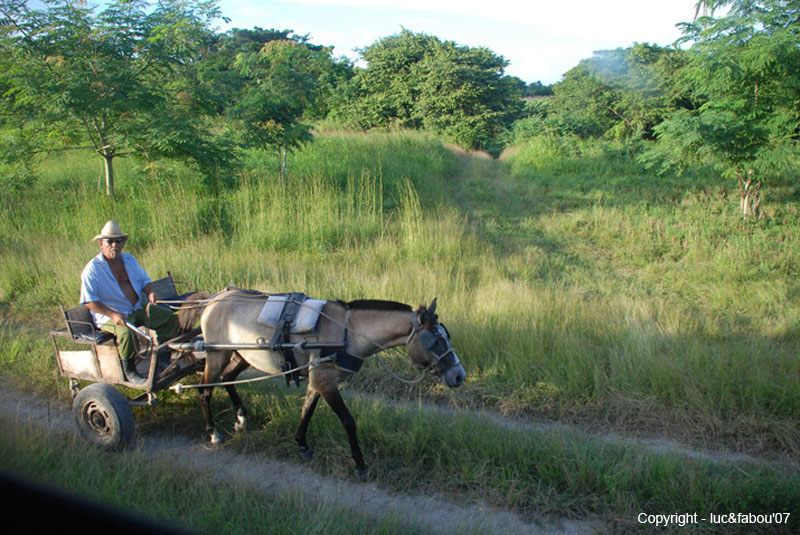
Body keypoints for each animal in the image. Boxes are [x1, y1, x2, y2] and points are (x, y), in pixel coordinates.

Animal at [175, 288, 462, 478]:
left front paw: (302, 445)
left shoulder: (317, 380)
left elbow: (307, 411)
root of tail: (213, 299)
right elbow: (348, 421)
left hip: (241, 355)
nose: (460, 375)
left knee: (227, 380)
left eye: (446, 336)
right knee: (205, 391)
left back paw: (241, 418)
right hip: (216, 355)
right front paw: (359, 463)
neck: (347, 332)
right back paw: (213, 433)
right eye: (437, 341)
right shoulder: (326, 383)